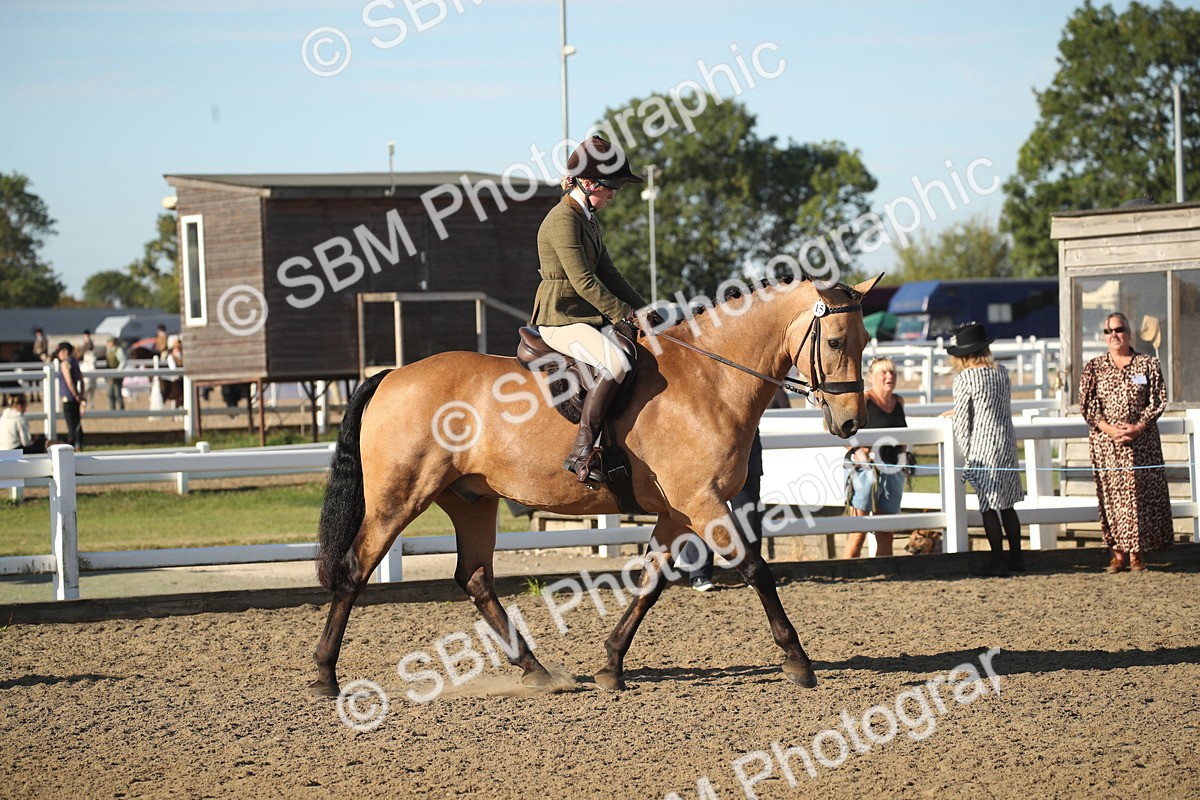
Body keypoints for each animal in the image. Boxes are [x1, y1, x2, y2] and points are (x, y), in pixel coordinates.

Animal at [311, 273, 882, 697]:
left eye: (864, 341)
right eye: (835, 341)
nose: (852, 422)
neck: (710, 380)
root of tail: (390, 374)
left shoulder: (678, 511)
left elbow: (651, 584)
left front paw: (610, 665)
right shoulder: (703, 501)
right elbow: (755, 568)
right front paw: (798, 661)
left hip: (472, 500)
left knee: (474, 579)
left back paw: (538, 672)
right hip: (399, 497)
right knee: (357, 568)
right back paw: (324, 675)